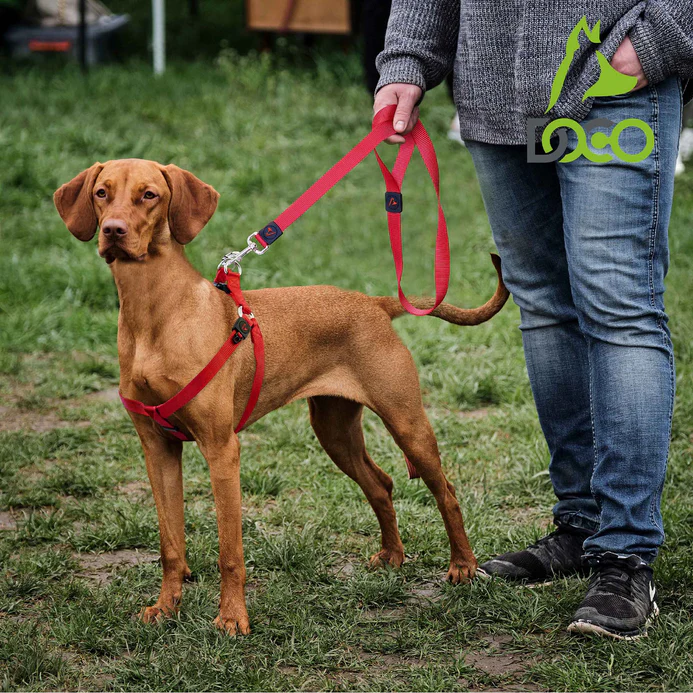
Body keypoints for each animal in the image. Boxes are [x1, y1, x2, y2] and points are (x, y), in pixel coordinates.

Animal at [54, 159, 508, 636]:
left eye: (149, 195)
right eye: (102, 193)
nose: (113, 231)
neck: (153, 316)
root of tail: (373, 302)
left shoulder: (222, 450)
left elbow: (230, 553)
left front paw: (232, 618)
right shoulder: (157, 448)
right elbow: (170, 544)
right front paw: (166, 608)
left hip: (407, 423)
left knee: (447, 493)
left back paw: (463, 566)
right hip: (333, 430)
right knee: (381, 484)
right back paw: (392, 555)